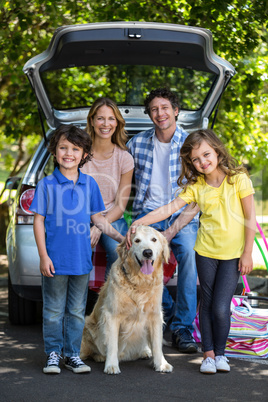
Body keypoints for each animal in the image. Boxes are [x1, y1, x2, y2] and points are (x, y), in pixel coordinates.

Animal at [81, 226, 174, 374]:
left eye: (154, 239)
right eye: (137, 240)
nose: (147, 252)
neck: (140, 283)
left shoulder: (155, 315)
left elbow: (157, 344)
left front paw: (161, 364)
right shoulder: (112, 315)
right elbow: (112, 344)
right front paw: (111, 365)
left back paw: (144, 351)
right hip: (88, 326)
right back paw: (99, 357)